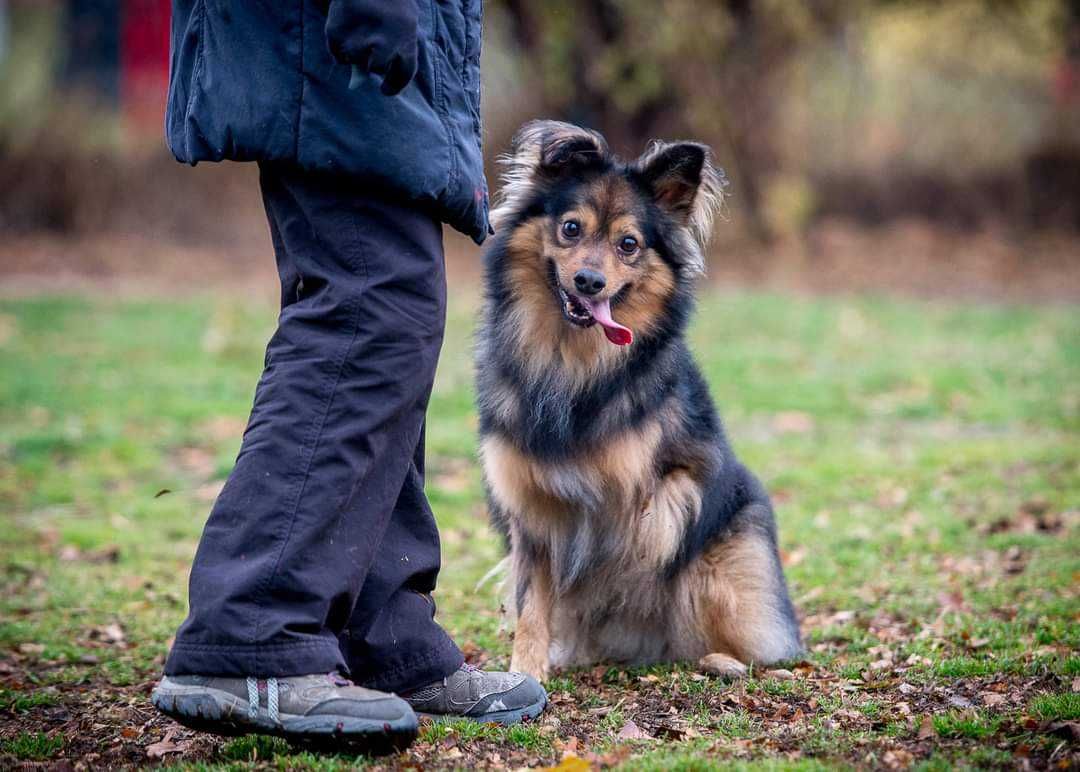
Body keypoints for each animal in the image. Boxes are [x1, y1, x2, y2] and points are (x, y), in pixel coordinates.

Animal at [475, 117, 803, 678]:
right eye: (570, 229)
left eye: (628, 244)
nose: (589, 281)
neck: (571, 360)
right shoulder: (530, 507)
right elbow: (533, 601)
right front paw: (526, 672)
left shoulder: (661, 479)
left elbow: (651, 521)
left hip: (732, 559)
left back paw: (722, 660)